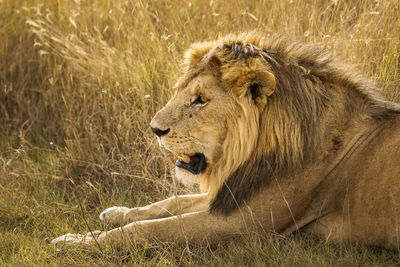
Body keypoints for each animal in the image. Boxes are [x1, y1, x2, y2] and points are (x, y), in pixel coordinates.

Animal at [51, 31, 400, 251]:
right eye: (180, 91)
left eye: (201, 100)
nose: (154, 129)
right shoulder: (232, 194)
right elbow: (170, 203)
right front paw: (115, 213)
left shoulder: (244, 224)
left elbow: (151, 229)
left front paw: (75, 242)